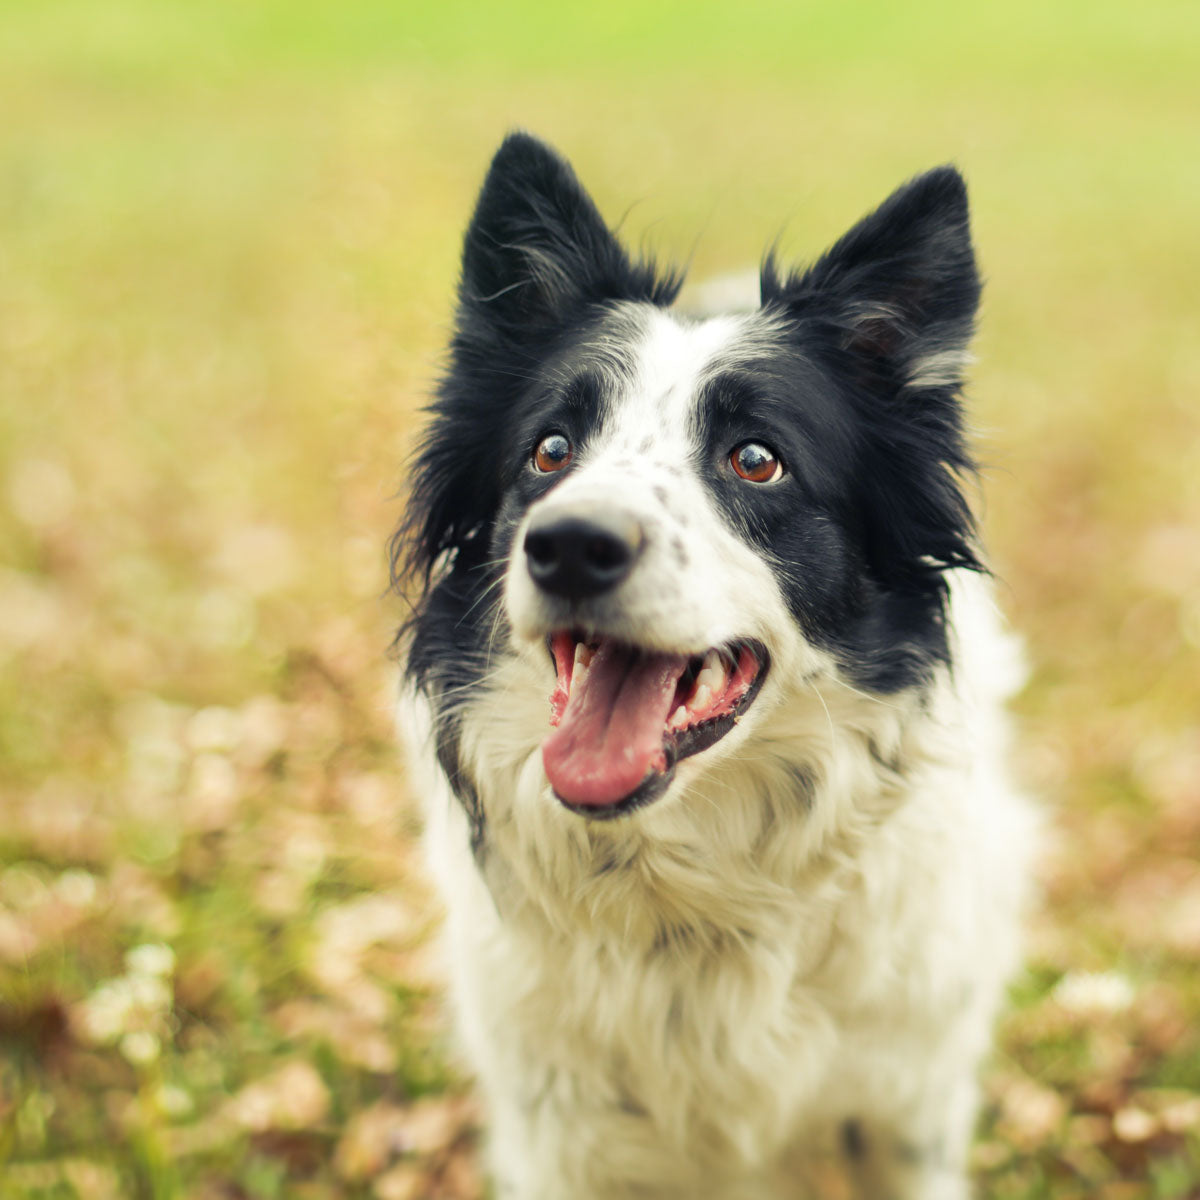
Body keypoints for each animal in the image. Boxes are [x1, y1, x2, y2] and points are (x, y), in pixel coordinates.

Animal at [393, 133, 1032, 1200]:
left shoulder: (905, 1110)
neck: (699, 890)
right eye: (551, 451)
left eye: (756, 460)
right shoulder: (558, 1135)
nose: (570, 546)